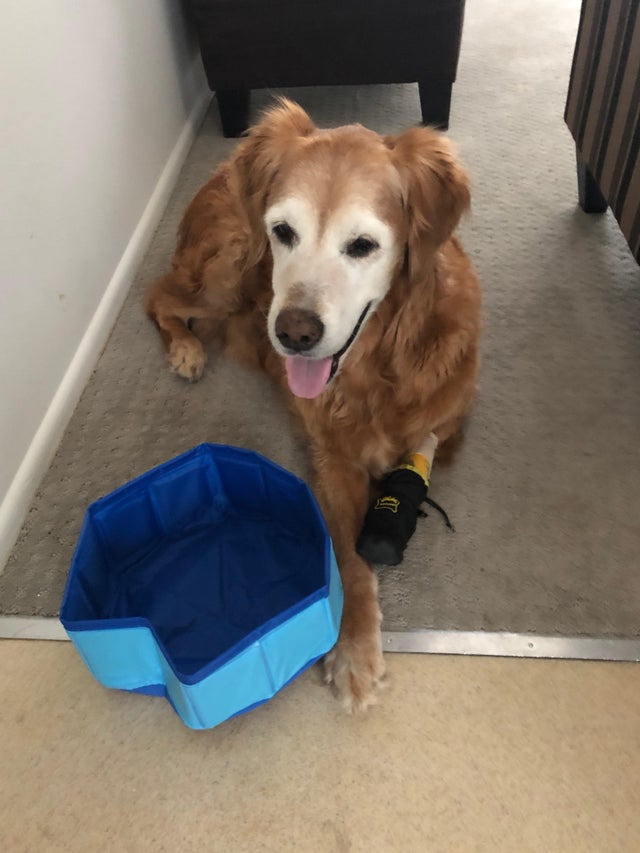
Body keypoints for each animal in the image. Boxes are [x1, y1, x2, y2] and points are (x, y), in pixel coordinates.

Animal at [146, 99, 481, 711]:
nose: (293, 334)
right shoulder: (331, 458)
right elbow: (348, 556)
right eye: (283, 232)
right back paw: (185, 349)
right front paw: (354, 650)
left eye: (363, 245)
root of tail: (220, 170)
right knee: (157, 295)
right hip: (227, 273)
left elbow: (416, 450)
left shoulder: (449, 423)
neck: (374, 364)